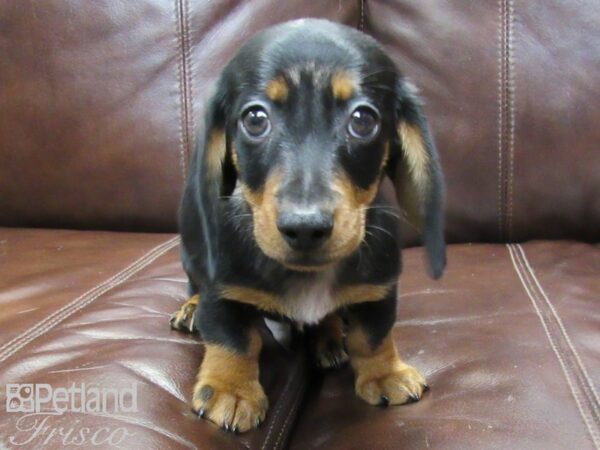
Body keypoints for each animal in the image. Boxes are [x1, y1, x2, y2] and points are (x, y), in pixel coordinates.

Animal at [170, 19, 446, 434]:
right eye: (255, 119)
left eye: (363, 120)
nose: (305, 228)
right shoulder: (222, 289)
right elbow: (233, 340)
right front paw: (231, 391)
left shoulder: (379, 288)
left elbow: (373, 336)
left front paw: (385, 374)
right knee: (194, 288)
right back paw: (190, 308)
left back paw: (328, 338)